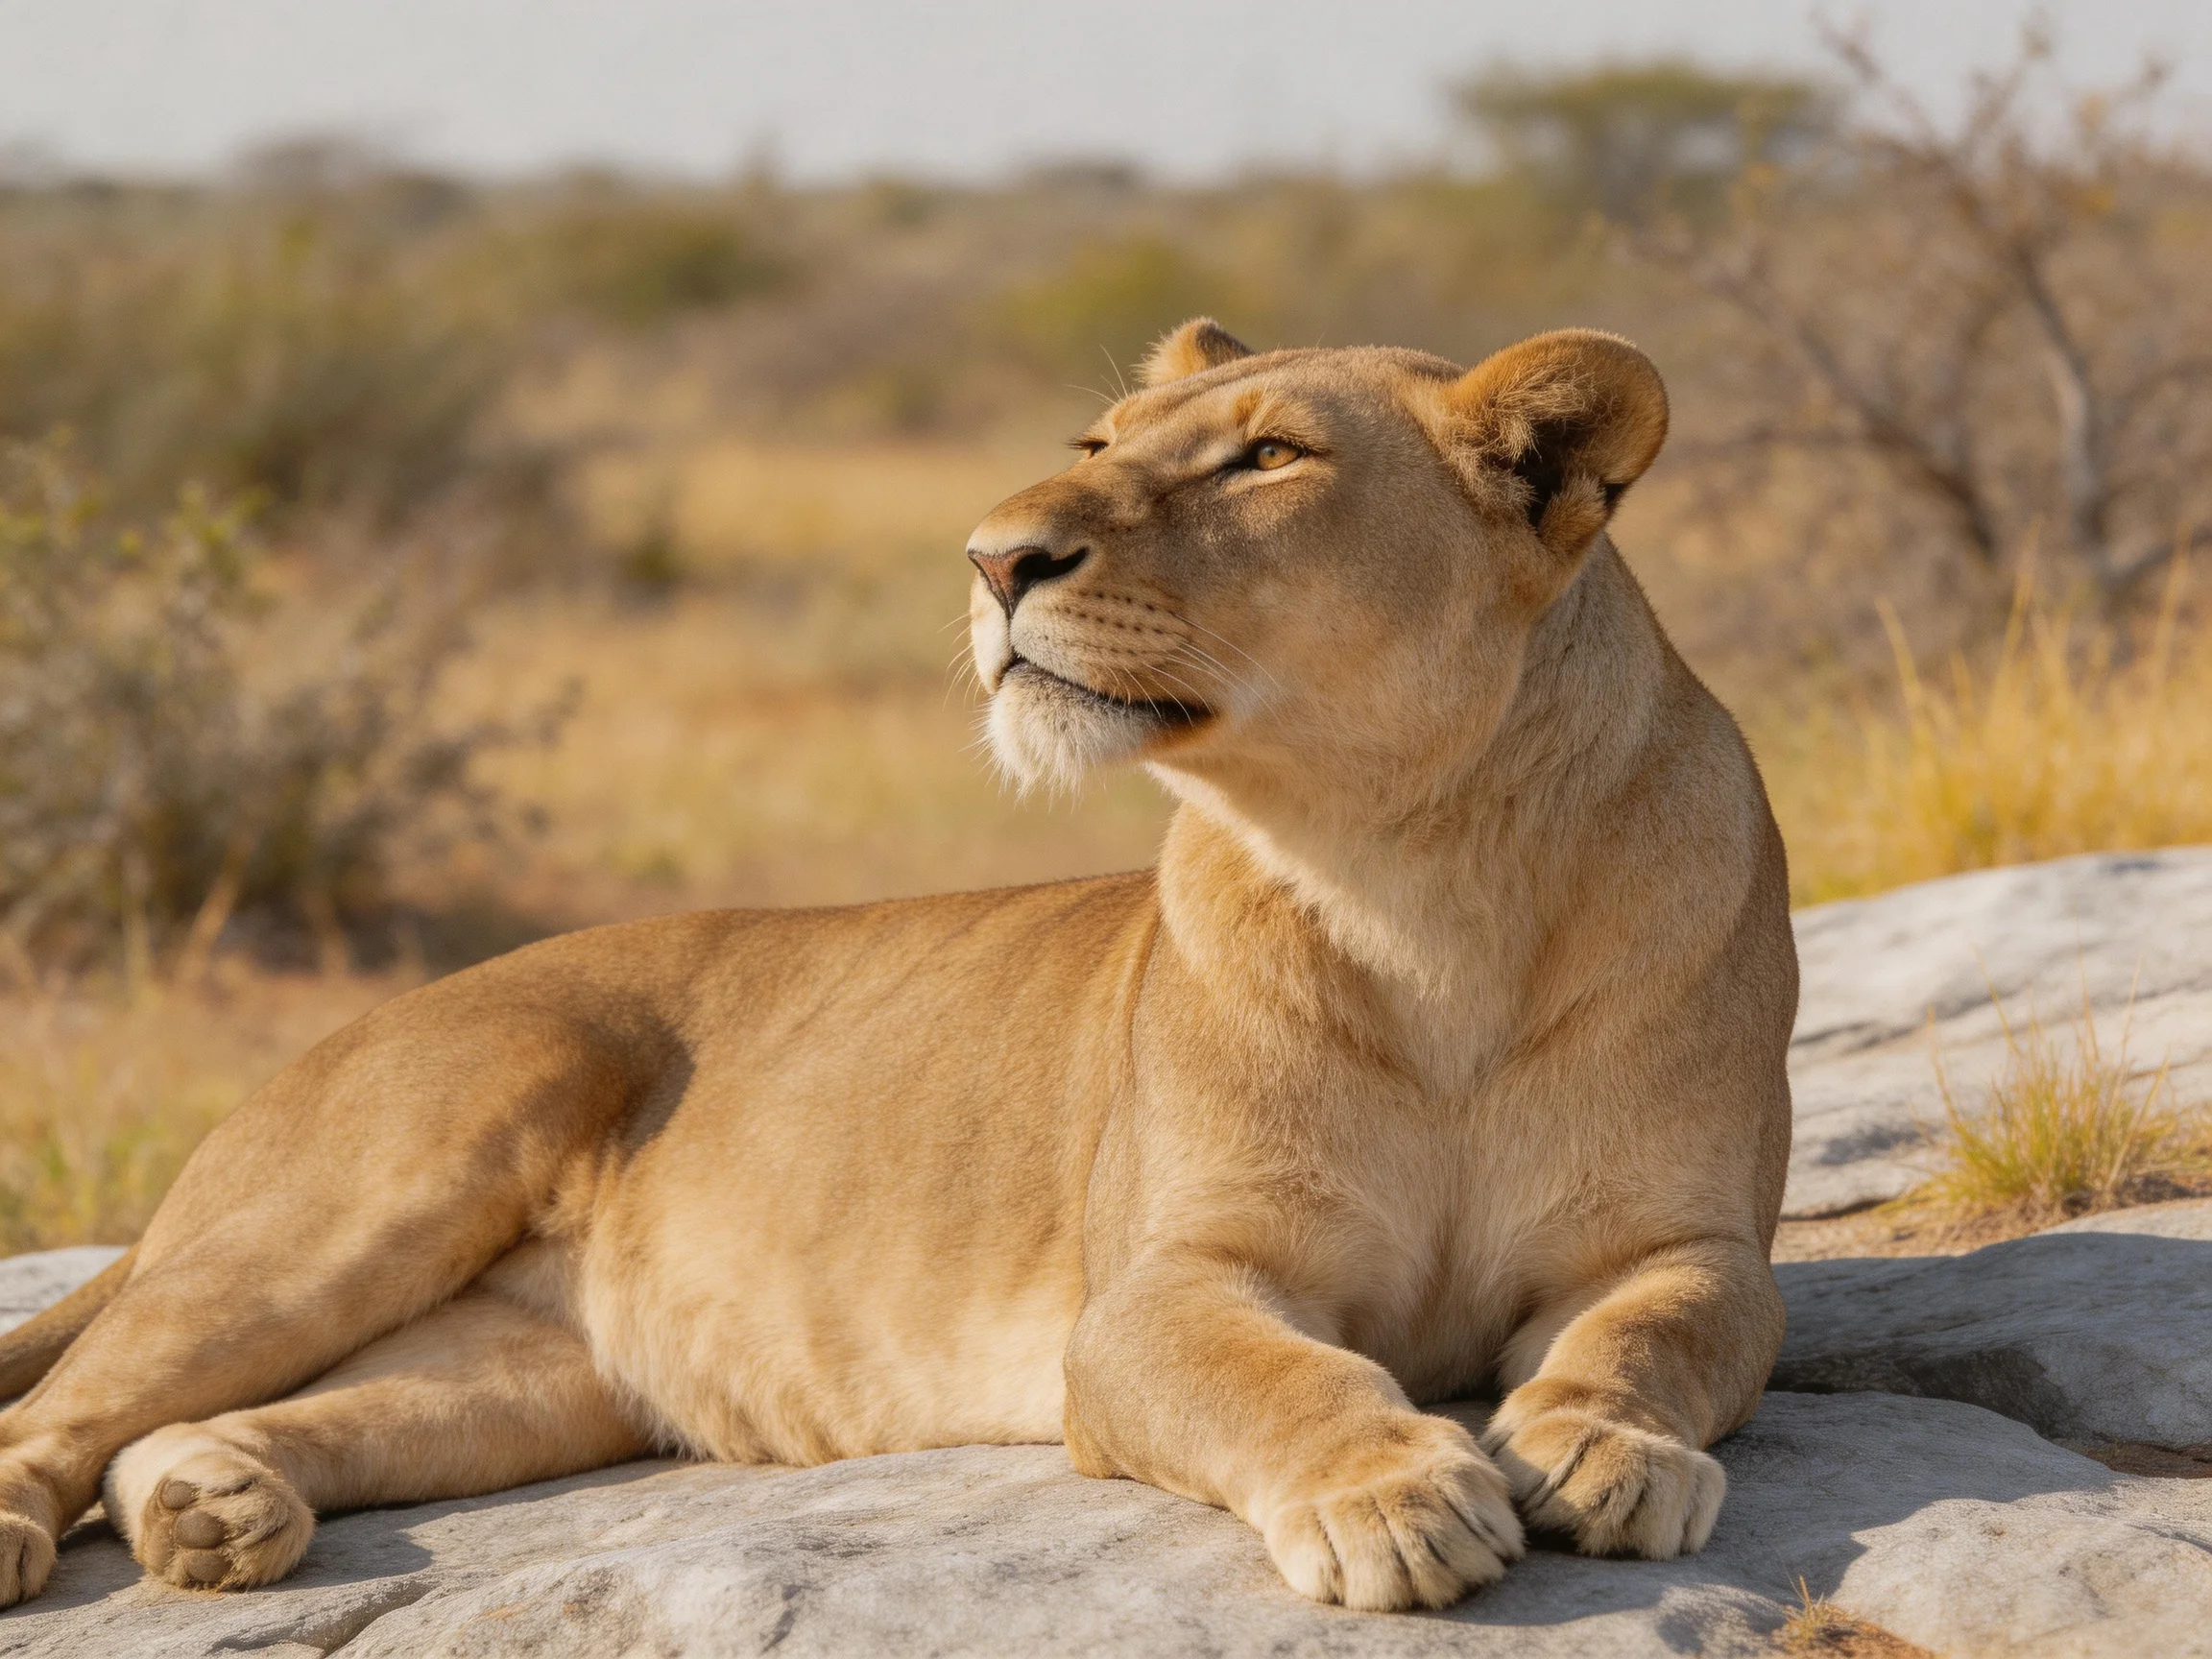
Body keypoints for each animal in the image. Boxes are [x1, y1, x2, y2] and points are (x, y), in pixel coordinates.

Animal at [0, 322, 1794, 1615]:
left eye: (1270, 456)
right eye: (1095, 448)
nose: (995, 558)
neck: (1416, 878)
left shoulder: (1682, 1235)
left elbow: (1663, 1331)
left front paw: (1600, 1449)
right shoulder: (1153, 1290)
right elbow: (1280, 1376)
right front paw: (1396, 1493)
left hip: (521, 1380)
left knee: (189, 1425)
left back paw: (215, 1508)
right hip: (376, 1183)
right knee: (55, 1415)